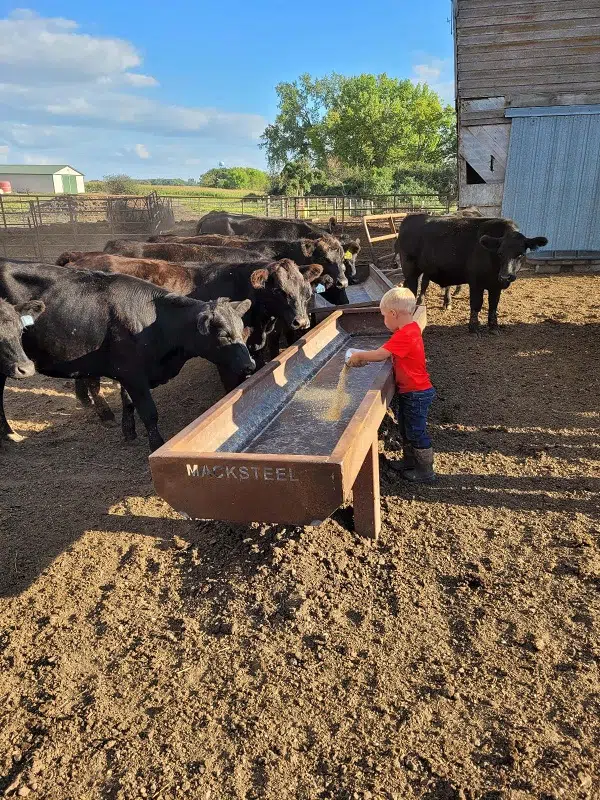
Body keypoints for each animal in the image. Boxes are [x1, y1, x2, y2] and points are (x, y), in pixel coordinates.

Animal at [0, 260, 254, 450]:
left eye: (242, 327)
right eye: (223, 335)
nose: (250, 365)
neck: (156, 322)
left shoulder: (128, 375)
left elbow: (128, 402)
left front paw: (129, 431)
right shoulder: (133, 374)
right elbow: (149, 413)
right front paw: (156, 444)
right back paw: (10, 434)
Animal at [394, 214, 548, 332]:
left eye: (521, 254)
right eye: (500, 253)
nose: (506, 276)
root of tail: (411, 217)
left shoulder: (496, 286)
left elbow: (493, 305)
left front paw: (494, 327)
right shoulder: (475, 282)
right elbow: (476, 304)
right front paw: (474, 328)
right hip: (411, 271)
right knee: (413, 288)